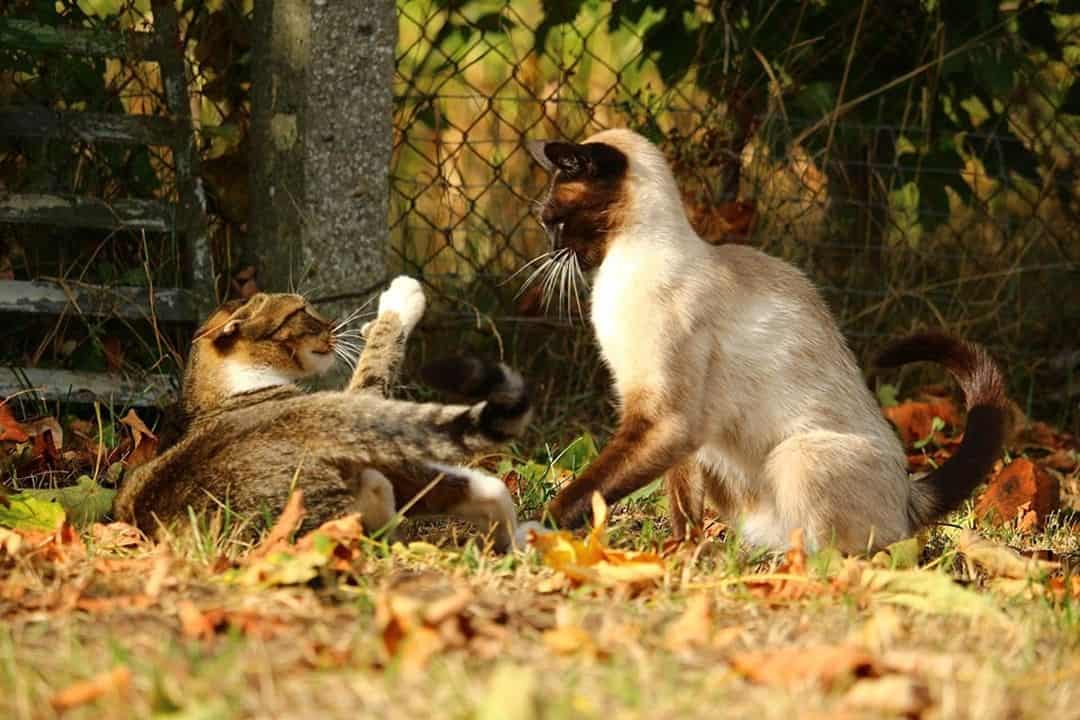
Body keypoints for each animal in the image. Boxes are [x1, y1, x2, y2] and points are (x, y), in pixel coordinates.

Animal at [522, 129, 1002, 557]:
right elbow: (682, 506)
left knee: (856, 552)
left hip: (797, 456)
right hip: (718, 456)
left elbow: (590, 488)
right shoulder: (675, 431)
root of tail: (908, 495)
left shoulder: (664, 418)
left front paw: (541, 528)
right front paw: (679, 552)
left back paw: (784, 566)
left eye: (554, 222)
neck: (621, 268)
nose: (550, 250)